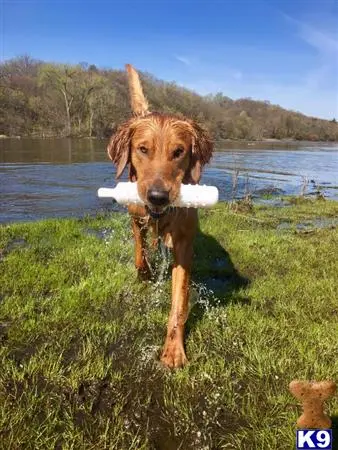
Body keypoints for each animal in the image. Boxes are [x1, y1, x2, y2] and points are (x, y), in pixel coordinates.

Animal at [107, 66, 213, 370]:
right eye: (143, 149)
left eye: (178, 152)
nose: (158, 196)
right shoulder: (136, 218)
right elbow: (139, 252)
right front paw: (144, 272)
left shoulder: (184, 243)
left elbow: (179, 301)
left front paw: (174, 350)